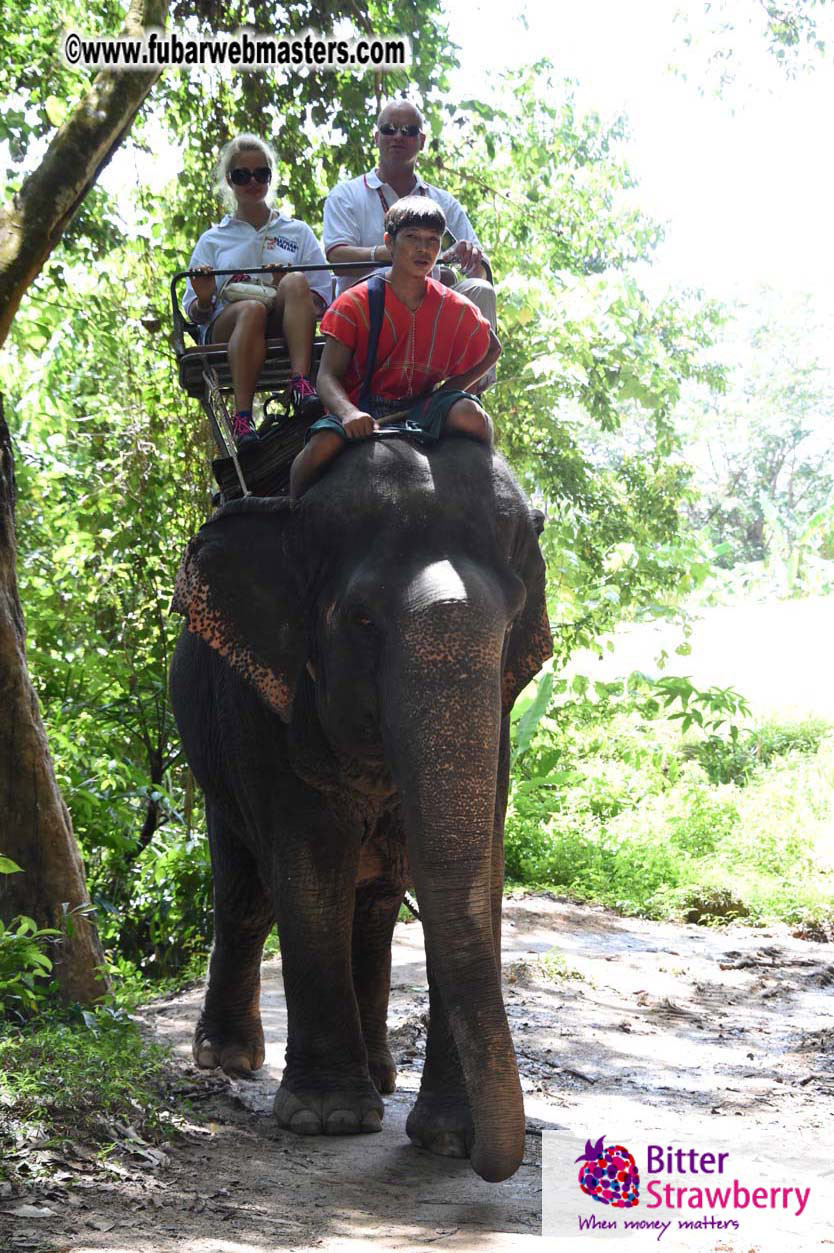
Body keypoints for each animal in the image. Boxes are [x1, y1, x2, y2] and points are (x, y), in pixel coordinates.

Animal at [169, 434, 552, 1183]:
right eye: (362, 620)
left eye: (512, 623)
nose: (491, 1166)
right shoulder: (265, 705)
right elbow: (311, 871)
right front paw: (329, 1120)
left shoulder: (501, 722)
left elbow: (480, 873)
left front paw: (447, 1138)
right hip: (211, 755)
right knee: (246, 894)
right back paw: (227, 1058)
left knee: (372, 912)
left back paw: (380, 1074)